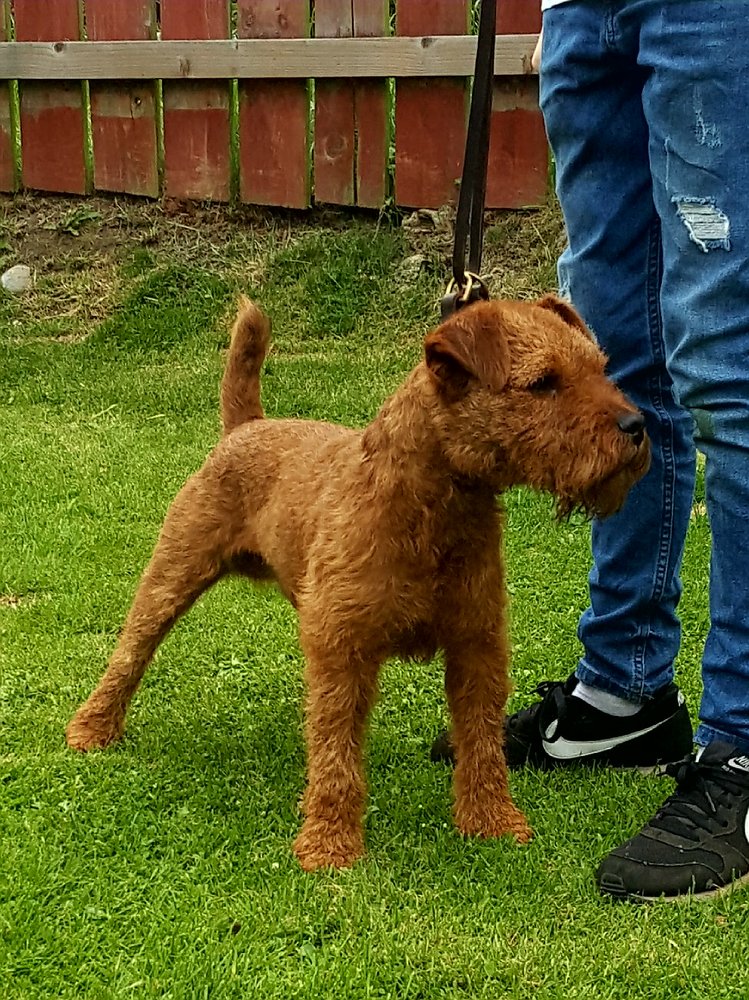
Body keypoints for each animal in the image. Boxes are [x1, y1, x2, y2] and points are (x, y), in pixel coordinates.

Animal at [65, 294, 648, 868]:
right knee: (130, 653)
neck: (429, 509)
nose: (637, 425)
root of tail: (246, 427)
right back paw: (91, 728)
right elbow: (336, 755)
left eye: (600, 369)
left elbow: (481, 743)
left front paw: (491, 823)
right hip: (173, 570)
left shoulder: (478, 645)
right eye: (543, 382)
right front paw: (330, 845)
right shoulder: (343, 650)